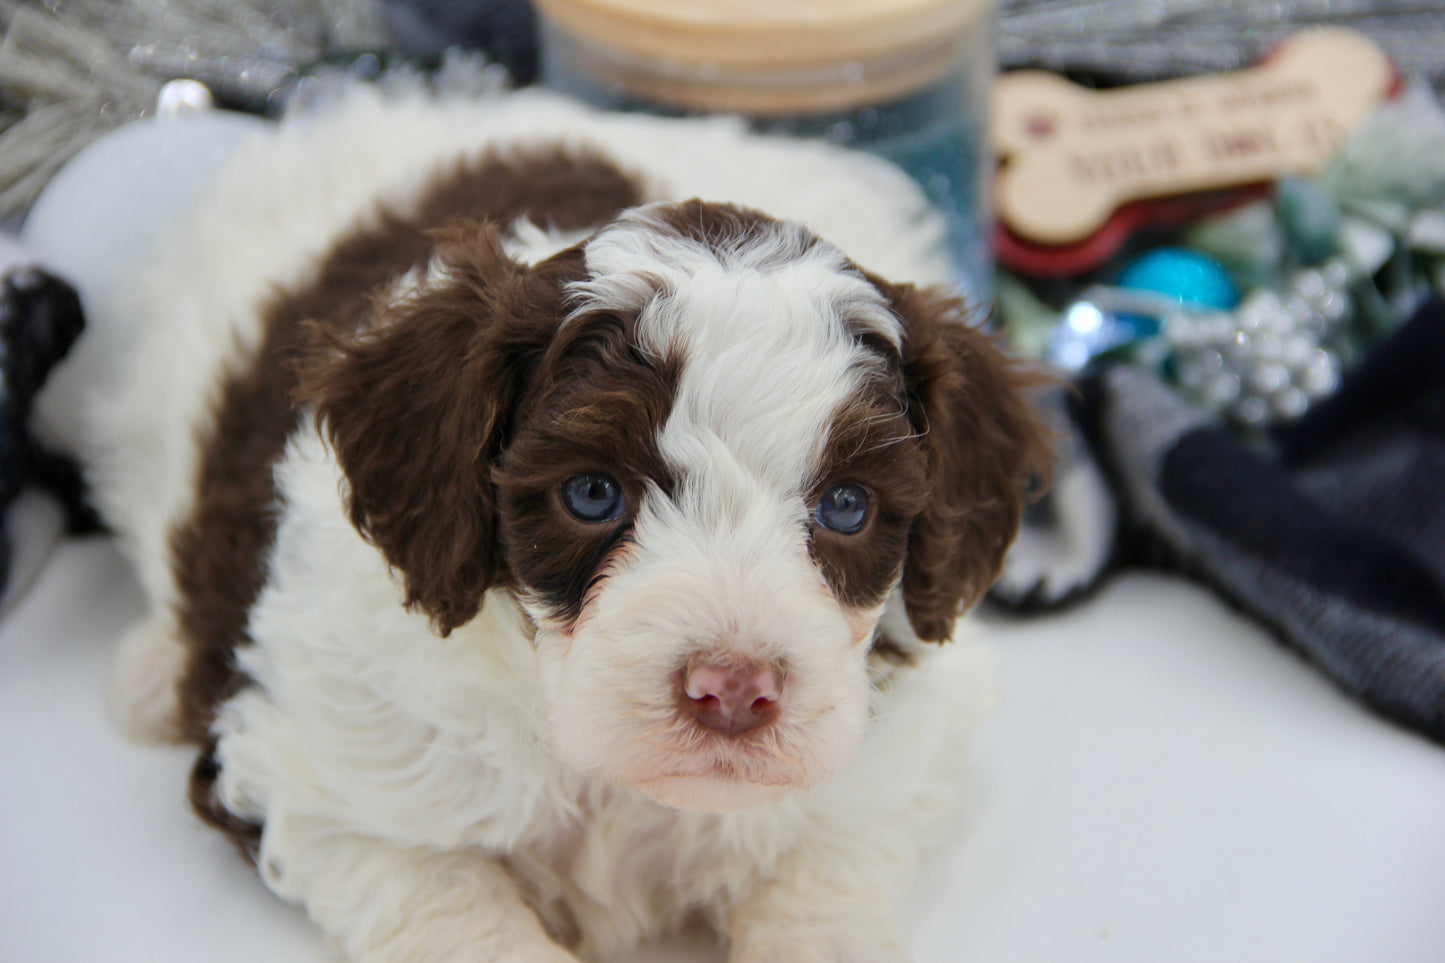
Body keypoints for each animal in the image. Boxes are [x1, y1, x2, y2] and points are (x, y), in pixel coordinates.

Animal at [73, 90, 1051, 960]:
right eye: (590, 494)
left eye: (846, 506)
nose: (734, 690)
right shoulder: (324, 785)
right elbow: (461, 917)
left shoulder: (886, 766)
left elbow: (823, 886)